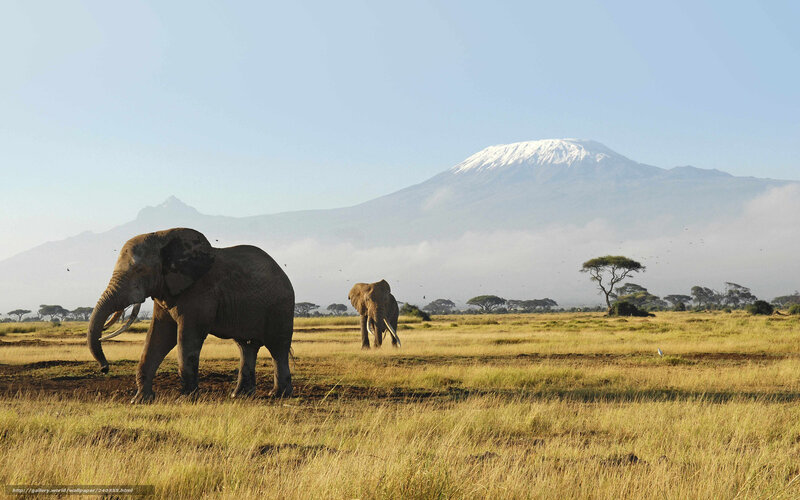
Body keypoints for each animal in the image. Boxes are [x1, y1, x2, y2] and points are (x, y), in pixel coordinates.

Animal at [87, 228, 295, 403]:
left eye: (140, 270)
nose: (105, 368)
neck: (162, 237)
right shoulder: (166, 290)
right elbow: (159, 336)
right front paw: (140, 400)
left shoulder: (199, 292)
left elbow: (187, 336)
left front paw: (186, 399)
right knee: (246, 347)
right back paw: (239, 395)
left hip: (281, 307)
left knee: (277, 348)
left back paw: (278, 395)